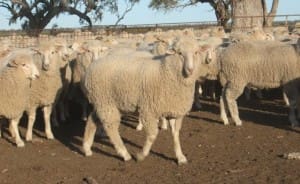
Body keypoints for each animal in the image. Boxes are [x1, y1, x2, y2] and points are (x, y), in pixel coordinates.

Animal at [81, 36, 214, 165]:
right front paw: (141, 155)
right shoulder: (149, 110)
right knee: (111, 127)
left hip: (103, 102)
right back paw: (124, 153)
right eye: (179, 53)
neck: (165, 71)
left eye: (196, 52)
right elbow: (152, 135)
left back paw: (87, 148)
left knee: (92, 120)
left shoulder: (174, 110)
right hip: (106, 103)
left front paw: (180, 157)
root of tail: (92, 66)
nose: (190, 69)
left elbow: (176, 134)